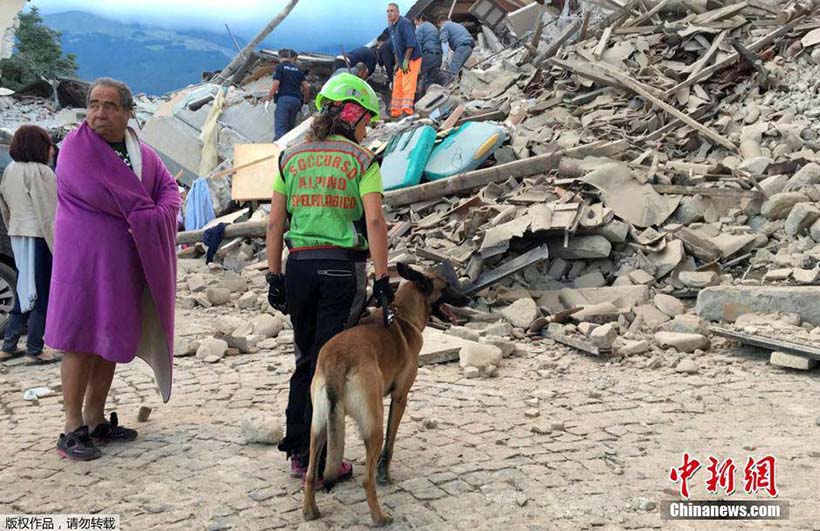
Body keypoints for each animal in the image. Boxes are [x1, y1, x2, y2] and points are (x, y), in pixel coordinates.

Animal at [302, 264, 468, 524]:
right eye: (447, 286)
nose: (468, 298)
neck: (402, 314)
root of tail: (337, 358)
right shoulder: (400, 398)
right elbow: (390, 444)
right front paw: (384, 474)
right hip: (373, 424)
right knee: (366, 479)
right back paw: (380, 516)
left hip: (319, 426)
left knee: (310, 473)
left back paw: (310, 510)